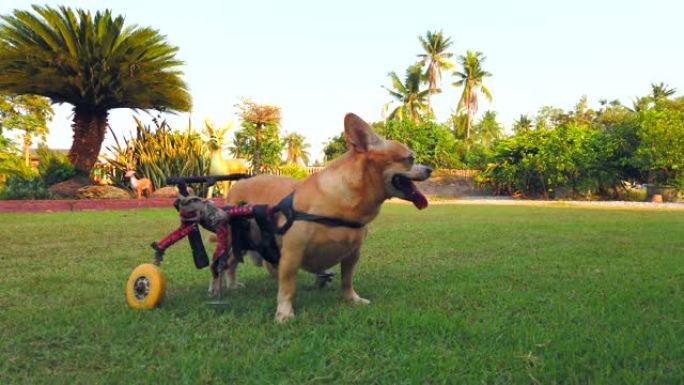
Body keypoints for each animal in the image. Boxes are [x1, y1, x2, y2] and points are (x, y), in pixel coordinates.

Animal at [216, 113, 430, 320]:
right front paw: (284, 312)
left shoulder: (353, 254)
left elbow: (347, 279)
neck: (340, 201)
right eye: (410, 158)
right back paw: (226, 286)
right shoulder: (291, 255)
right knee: (227, 263)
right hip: (234, 240)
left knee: (232, 263)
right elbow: (287, 288)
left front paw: (352, 299)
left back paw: (231, 285)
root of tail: (237, 185)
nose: (429, 168)